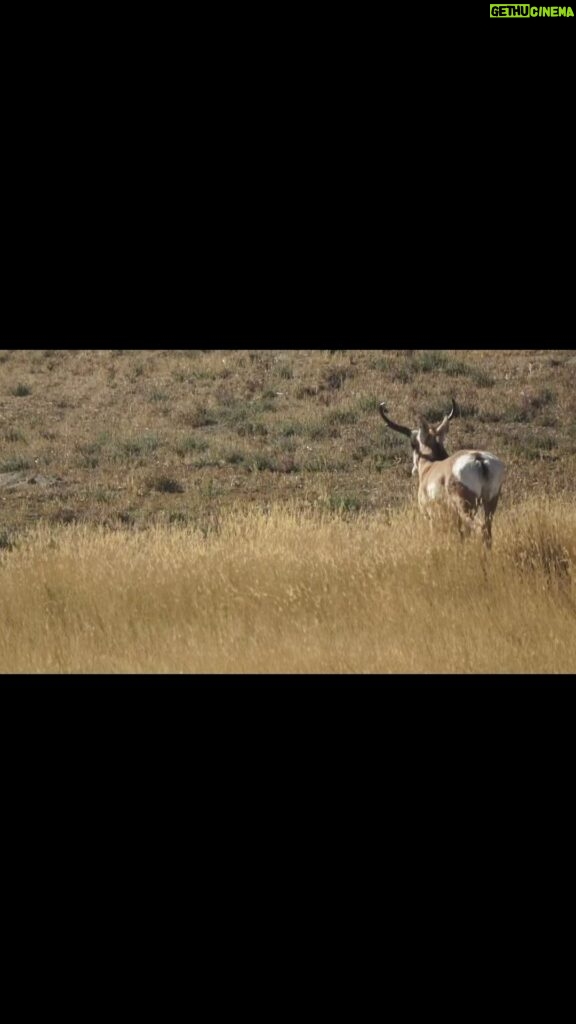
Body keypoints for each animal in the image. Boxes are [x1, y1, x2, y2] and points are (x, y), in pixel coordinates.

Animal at [379, 397, 504, 548]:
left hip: (467, 508)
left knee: (481, 528)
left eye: (413, 444)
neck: (430, 466)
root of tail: (478, 458)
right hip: (490, 503)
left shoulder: (430, 516)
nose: (413, 470)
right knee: (487, 529)